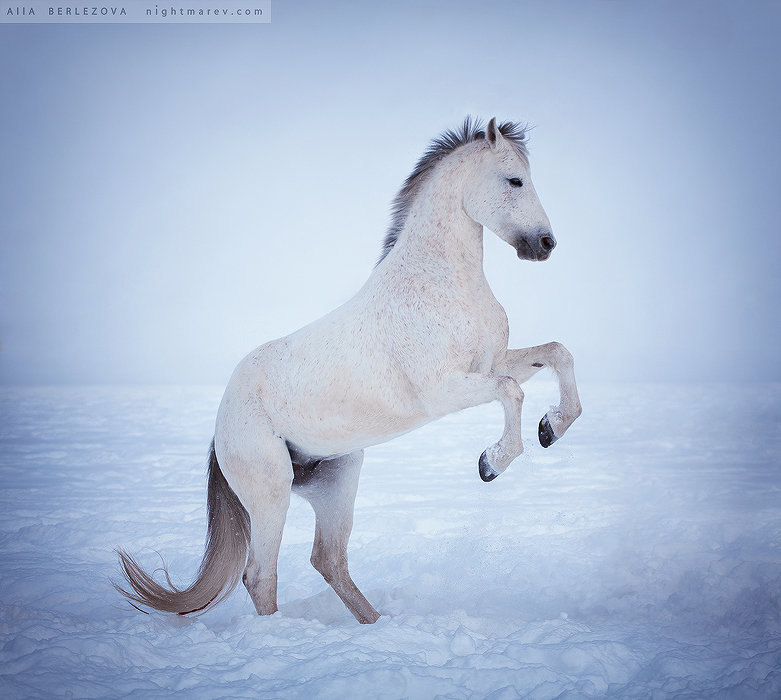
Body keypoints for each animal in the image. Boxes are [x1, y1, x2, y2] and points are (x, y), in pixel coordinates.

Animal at [116, 117, 580, 628]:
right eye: (514, 180)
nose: (545, 245)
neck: (441, 285)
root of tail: (221, 427)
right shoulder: (445, 391)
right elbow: (512, 391)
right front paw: (491, 463)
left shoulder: (490, 363)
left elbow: (556, 354)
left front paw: (551, 428)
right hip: (270, 493)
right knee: (260, 575)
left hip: (338, 481)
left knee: (328, 559)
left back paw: (375, 625)